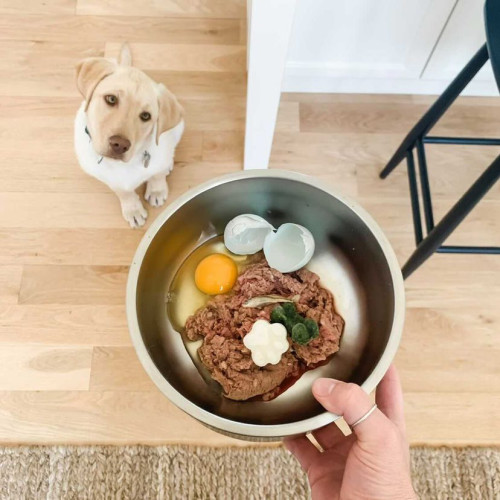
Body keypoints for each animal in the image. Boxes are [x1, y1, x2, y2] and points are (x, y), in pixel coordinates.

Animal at [74, 46, 184, 228]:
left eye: (146, 116)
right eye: (111, 99)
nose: (119, 144)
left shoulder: (159, 160)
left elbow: (157, 175)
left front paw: (157, 190)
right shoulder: (110, 179)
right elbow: (123, 192)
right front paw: (132, 209)